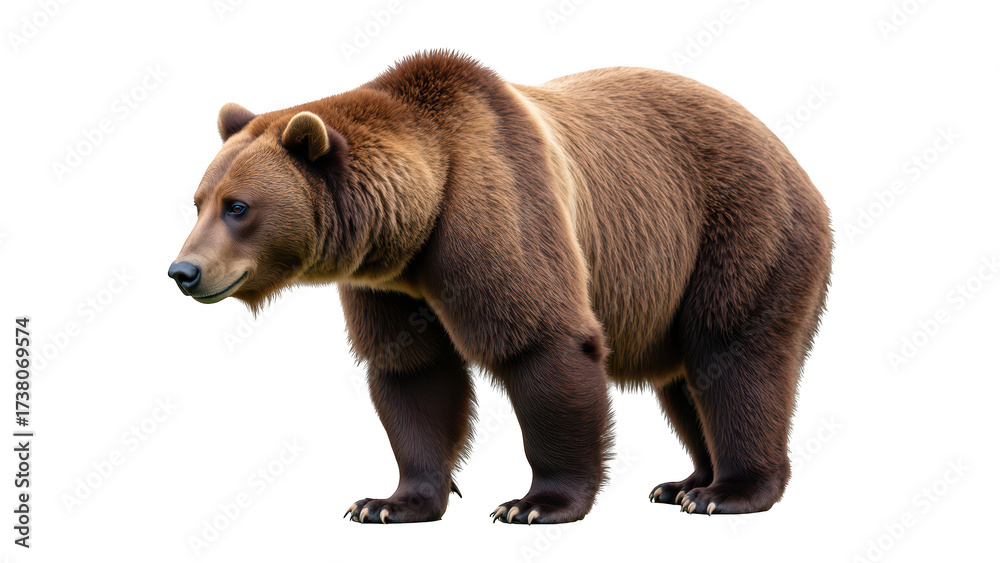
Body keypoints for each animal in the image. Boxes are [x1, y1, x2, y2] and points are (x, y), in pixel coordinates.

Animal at [168, 50, 832, 524]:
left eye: (237, 206)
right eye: (197, 201)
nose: (183, 271)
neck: (421, 218)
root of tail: (791, 157)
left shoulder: (500, 203)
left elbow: (543, 343)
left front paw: (534, 503)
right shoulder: (389, 287)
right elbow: (412, 375)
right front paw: (388, 502)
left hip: (742, 230)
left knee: (734, 355)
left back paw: (729, 491)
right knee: (685, 378)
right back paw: (685, 483)